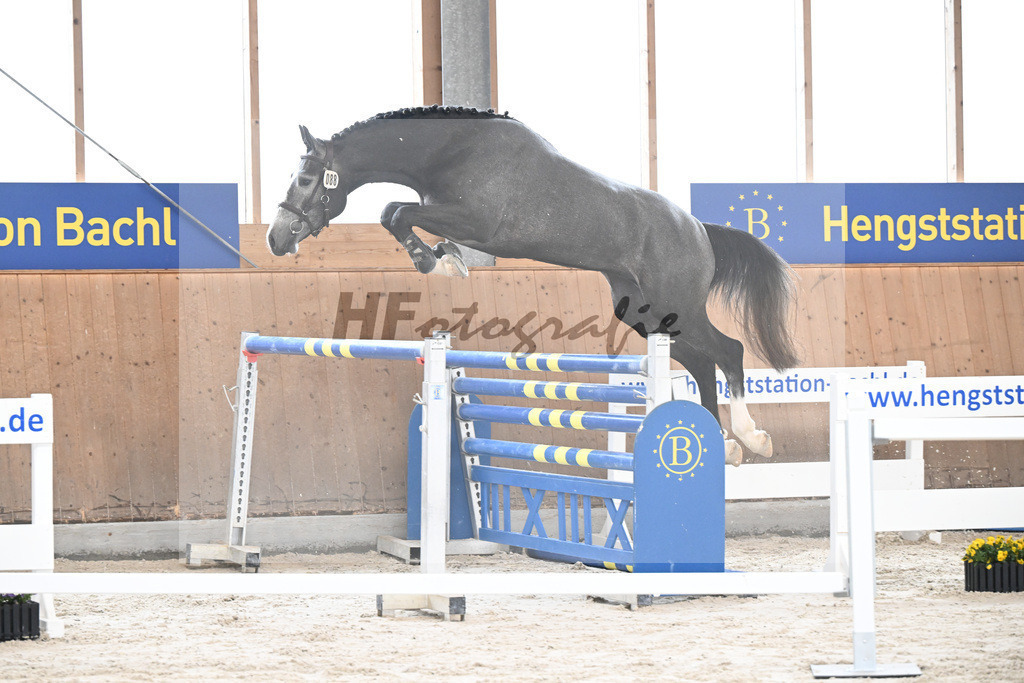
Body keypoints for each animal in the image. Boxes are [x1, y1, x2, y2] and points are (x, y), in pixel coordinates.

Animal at [266, 106, 799, 465]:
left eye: (307, 179)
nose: (275, 238)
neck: (450, 150)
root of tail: (698, 229)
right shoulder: (453, 217)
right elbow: (396, 213)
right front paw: (443, 259)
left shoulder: (475, 222)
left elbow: (393, 211)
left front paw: (436, 263)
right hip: (644, 313)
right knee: (703, 363)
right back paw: (724, 445)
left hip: (678, 305)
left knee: (728, 352)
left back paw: (751, 438)